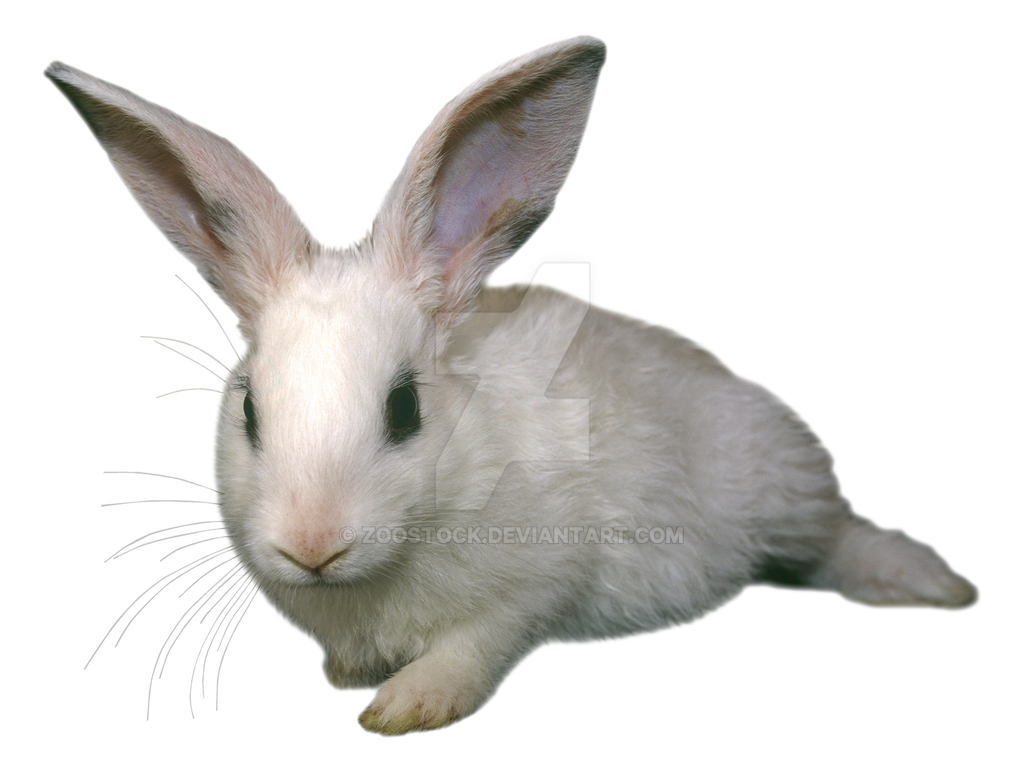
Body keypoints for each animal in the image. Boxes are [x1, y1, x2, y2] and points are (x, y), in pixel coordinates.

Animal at [46, 35, 978, 735]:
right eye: (247, 413)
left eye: (404, 409)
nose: (313, 545)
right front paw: (350, 675)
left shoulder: (528, 590)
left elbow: (476, 647)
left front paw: (404, 707)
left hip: (779, 493)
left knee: (836, 539)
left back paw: (928, 583)